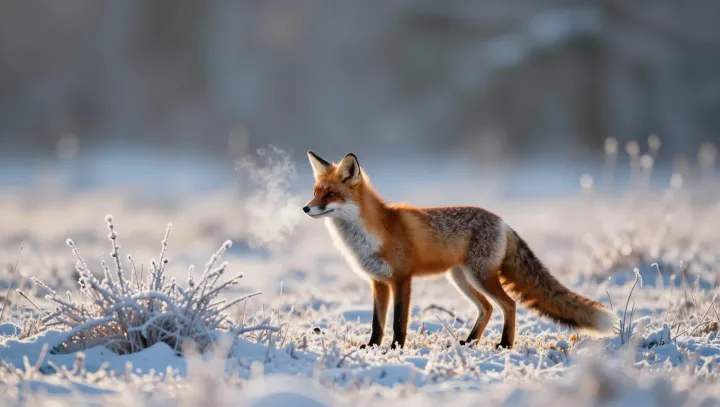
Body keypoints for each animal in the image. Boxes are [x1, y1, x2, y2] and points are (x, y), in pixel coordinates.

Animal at [303, 151, 617, 349]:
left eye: (330, 194)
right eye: (315, 192)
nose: (305, 208)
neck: (369, 234)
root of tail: (503, 221)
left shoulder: (402, 279)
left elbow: (398, 322)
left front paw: (395, 349)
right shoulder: (378, 282)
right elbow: (377, 323)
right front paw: (371, 348)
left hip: (480, 276)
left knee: (508, 305)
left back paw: (505, 345)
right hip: (461, 278)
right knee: (487, 307)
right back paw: (470, 341)